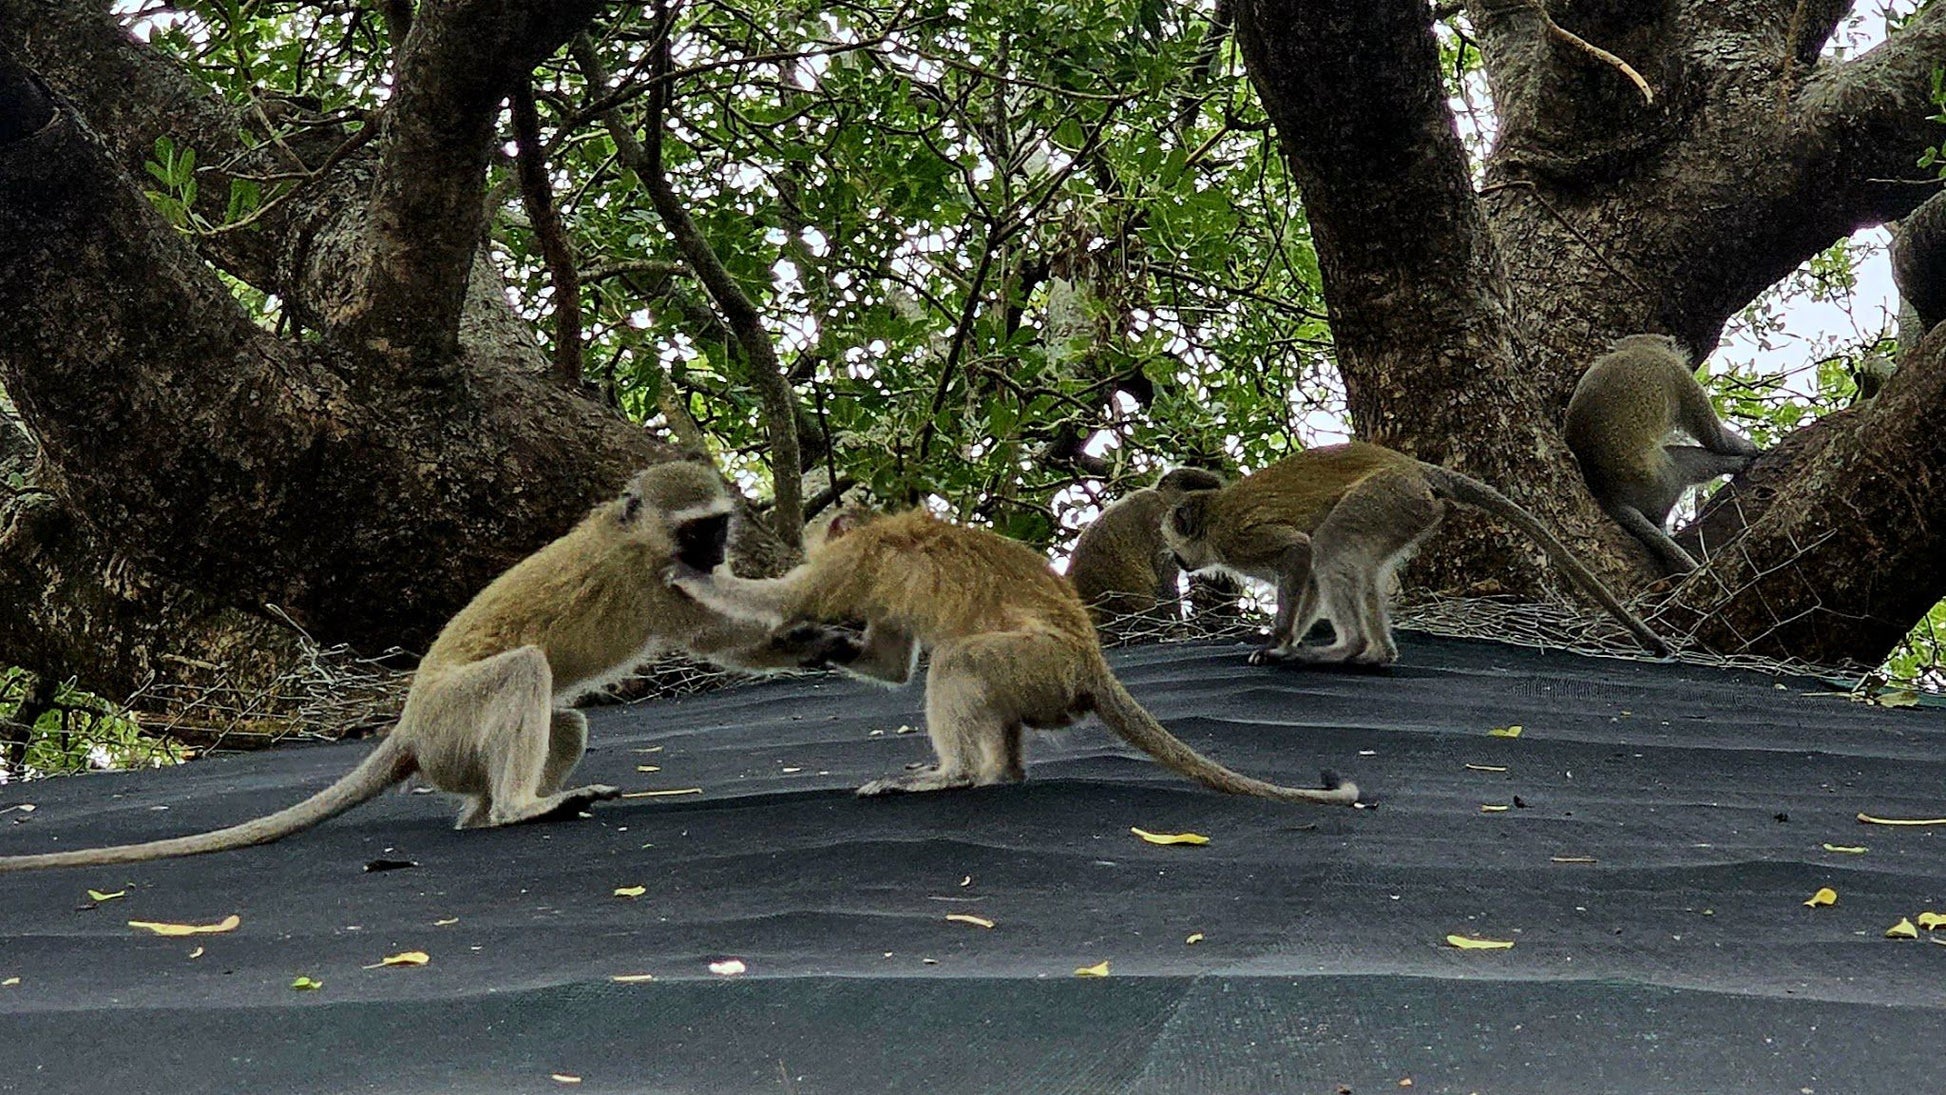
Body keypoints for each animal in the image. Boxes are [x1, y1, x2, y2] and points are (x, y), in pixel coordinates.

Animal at [0, 462, 856, 875]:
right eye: (700, 531)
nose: (716, 555)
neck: (635, 536)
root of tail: (409, 724)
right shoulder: (659, 584)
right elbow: (724, 639)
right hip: (453, 721)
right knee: (524, 673)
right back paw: (519, 809)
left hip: (454, 746)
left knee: (563, 723)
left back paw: (490, 812)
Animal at [665, 509, 1354, 809]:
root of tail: (1092, 661)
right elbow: (888, 665)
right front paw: (820, 645)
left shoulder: (853, 559)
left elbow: (784, 599)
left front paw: (689, 575)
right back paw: (1000, 774)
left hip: (1040, 667)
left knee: (960, 664)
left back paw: (957, 775)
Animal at [1152, 443, 1673, 669]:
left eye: (1174, 544)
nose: (1178, 562)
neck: (1213, 519)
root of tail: (1411, 467)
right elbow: (1311, 575)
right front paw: (1286, 638)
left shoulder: (1239, 538)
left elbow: (1301, 552)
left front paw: (1278, 642)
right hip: (1406, 509)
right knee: (1354, 561)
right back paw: (1376, 654)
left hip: (1389, 496)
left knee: (1333, 546)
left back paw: (1351, 648)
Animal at [1564, 332, 1766, 575]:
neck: (1640, 348)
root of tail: (1606, 491)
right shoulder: (1680, 376)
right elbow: (1714, 437)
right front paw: (1750, 449)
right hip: (1659, 480)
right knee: (1683, 460)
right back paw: (1737, 464)